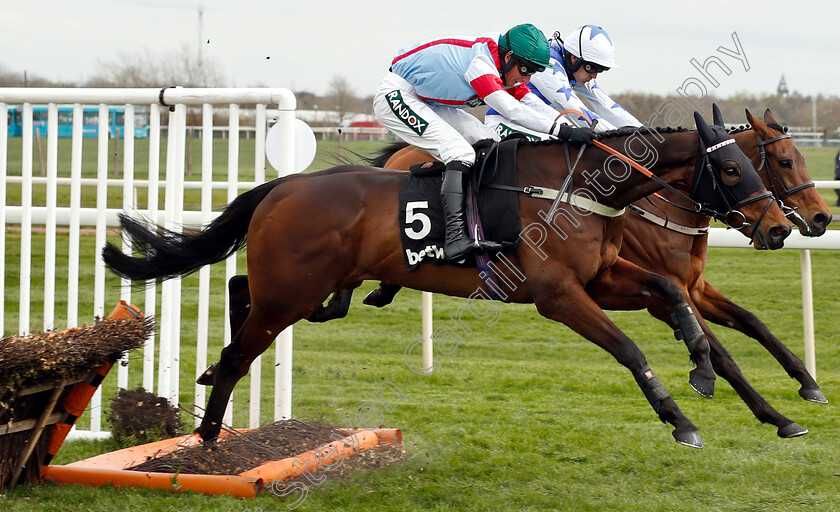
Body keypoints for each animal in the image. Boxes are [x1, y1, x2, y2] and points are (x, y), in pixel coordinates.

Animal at [101, 109, 792, 448]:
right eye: (735, 169)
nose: (782, 227)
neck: (583, 187)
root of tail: (284, 186)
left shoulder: (602, 279)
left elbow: (675, 296)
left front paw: (704, 365)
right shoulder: (558, 296)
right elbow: (630, 349)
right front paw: (680, 419)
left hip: (298, 289)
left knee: (242, 295)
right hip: (290, 293)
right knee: (242, 349)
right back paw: (206, 441)